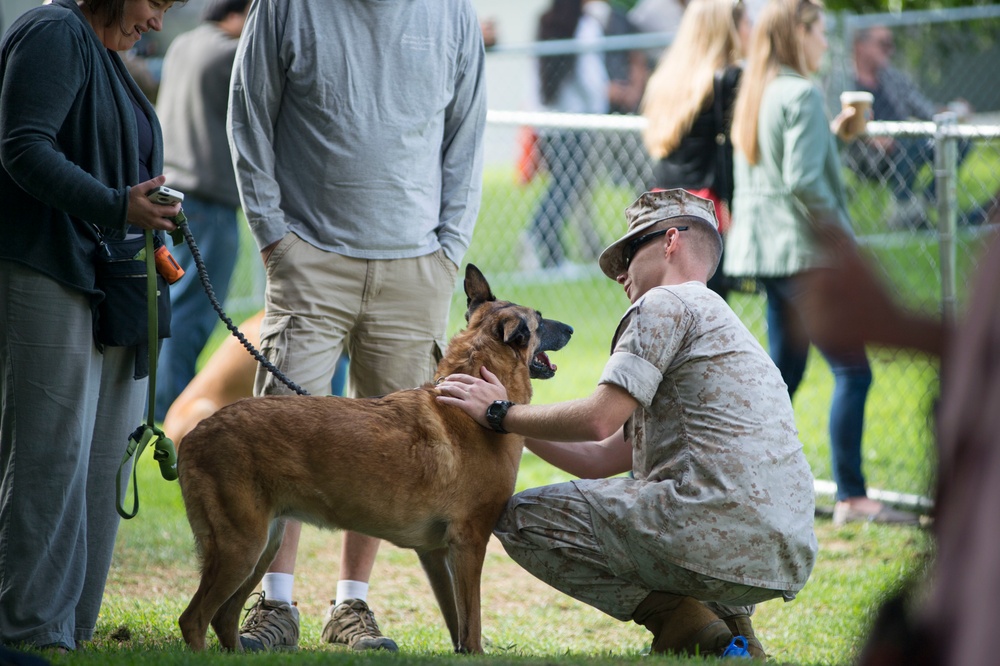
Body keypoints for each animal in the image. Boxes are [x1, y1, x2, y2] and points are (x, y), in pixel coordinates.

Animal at [176, 264, 576, 648]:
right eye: (540, 320)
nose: (571, 328)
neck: (469, 406)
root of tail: (195, 433)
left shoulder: (436, 554)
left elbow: (458, 627)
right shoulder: (470, 543)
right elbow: (472, 625)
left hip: (262, 548)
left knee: (223, 618)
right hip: (241, 549)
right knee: (194, 619)